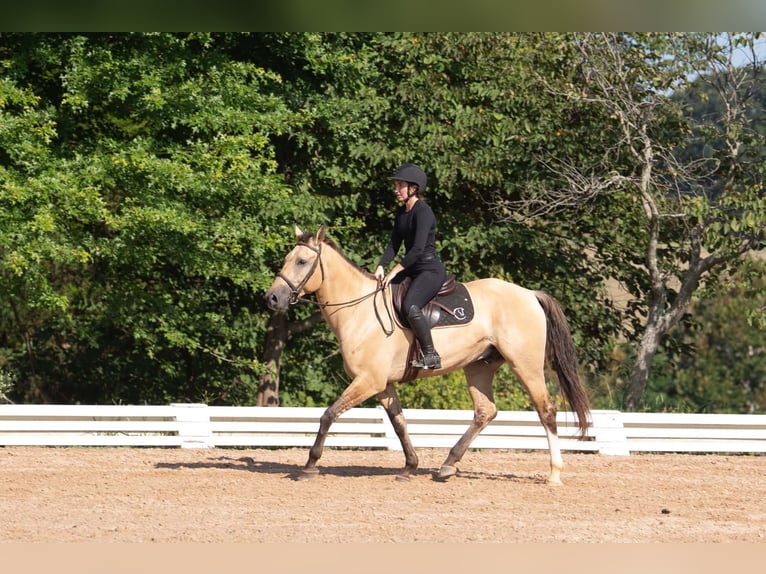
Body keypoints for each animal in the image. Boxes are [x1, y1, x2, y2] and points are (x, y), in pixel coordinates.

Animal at [264, 224, 591, 484]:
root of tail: (530, 294)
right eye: (286, 260)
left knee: (546, 410)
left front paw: (310, 465)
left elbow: (328, 415)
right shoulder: (383, 385)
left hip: (525, 365)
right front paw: (410, 466)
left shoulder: (368, 381)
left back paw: (554, 473)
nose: (272, 298)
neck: (359, 311)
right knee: (485, 412)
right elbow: (399, 424)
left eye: (302, 261)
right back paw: (447, 466)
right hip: (479, 366)